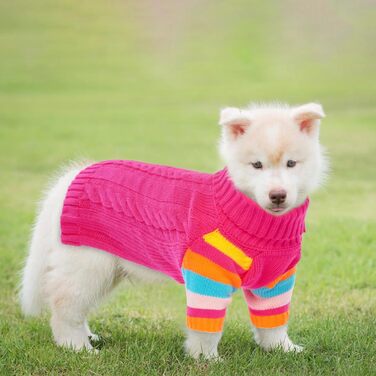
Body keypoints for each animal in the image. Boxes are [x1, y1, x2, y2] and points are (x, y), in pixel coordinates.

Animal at [19, 102, 328, 358]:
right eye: (257, 165)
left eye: (291, 163)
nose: (278, 195)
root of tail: (73, 176)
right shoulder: (207, 274)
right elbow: (206, 328)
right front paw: (206, 359)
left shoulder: (275, 280)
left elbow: (273, 322)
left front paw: (283, 349)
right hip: (88, 265)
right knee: (64, 306)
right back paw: (77, 347)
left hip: (106, 269)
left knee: (76, 307)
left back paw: (88, 338)